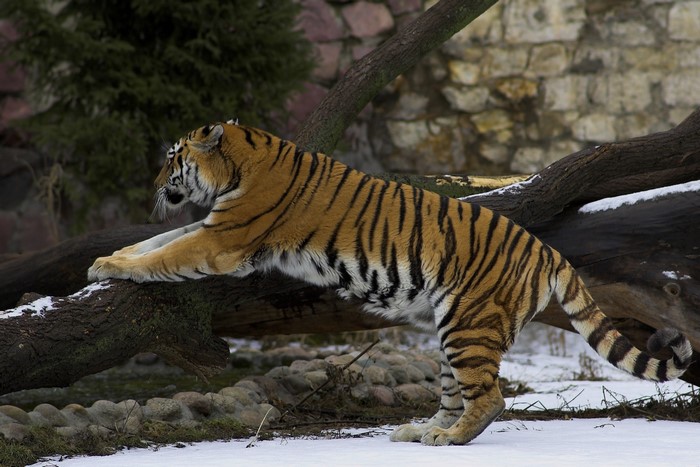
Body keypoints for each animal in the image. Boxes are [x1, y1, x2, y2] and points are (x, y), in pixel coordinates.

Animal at [88, 121, 692, 446]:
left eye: (172, 158)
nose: (154, 185)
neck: (240, 163)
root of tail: (546, 249)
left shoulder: (223, 241)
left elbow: (168, 253)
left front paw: (110, 268)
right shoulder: (212, 227)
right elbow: (159, 241)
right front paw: (104, 258)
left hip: (469, 324)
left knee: (490, 397)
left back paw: (449, 439)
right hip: (452, 330)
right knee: (454, 392)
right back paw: (417, 432)